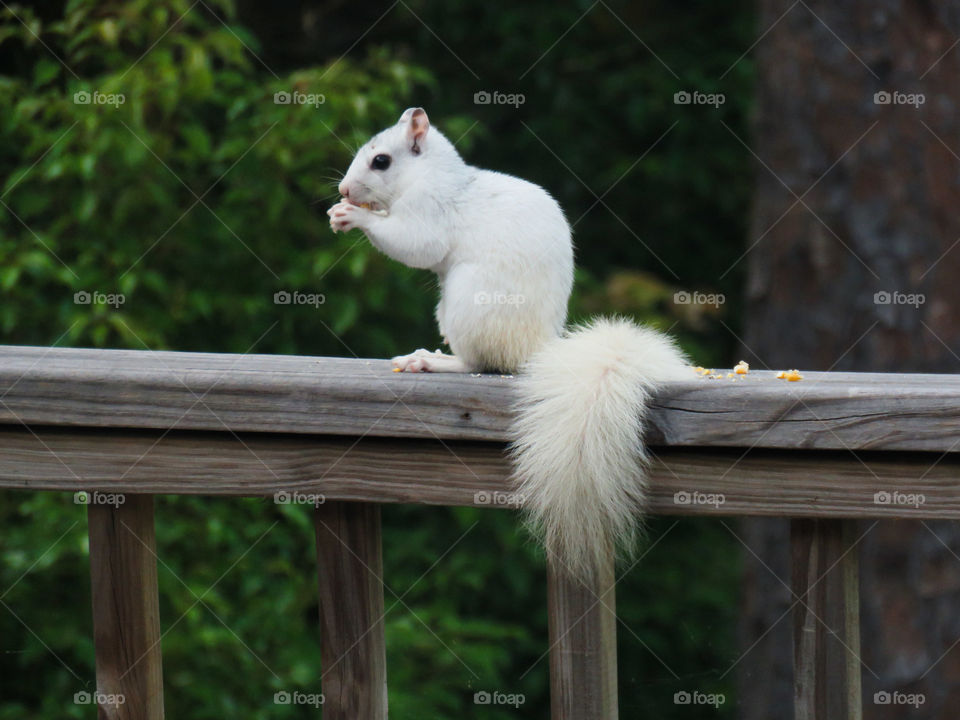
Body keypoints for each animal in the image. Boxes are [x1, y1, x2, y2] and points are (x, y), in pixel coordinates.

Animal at [329, 107, 689, 580]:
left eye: (381, 161)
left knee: (476, 362)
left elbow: (416, 244)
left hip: (467, 305)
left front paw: (355, 217)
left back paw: (432, 361)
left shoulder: (430, 211)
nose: (343, 190)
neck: (430, 176)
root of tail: (536, 349)